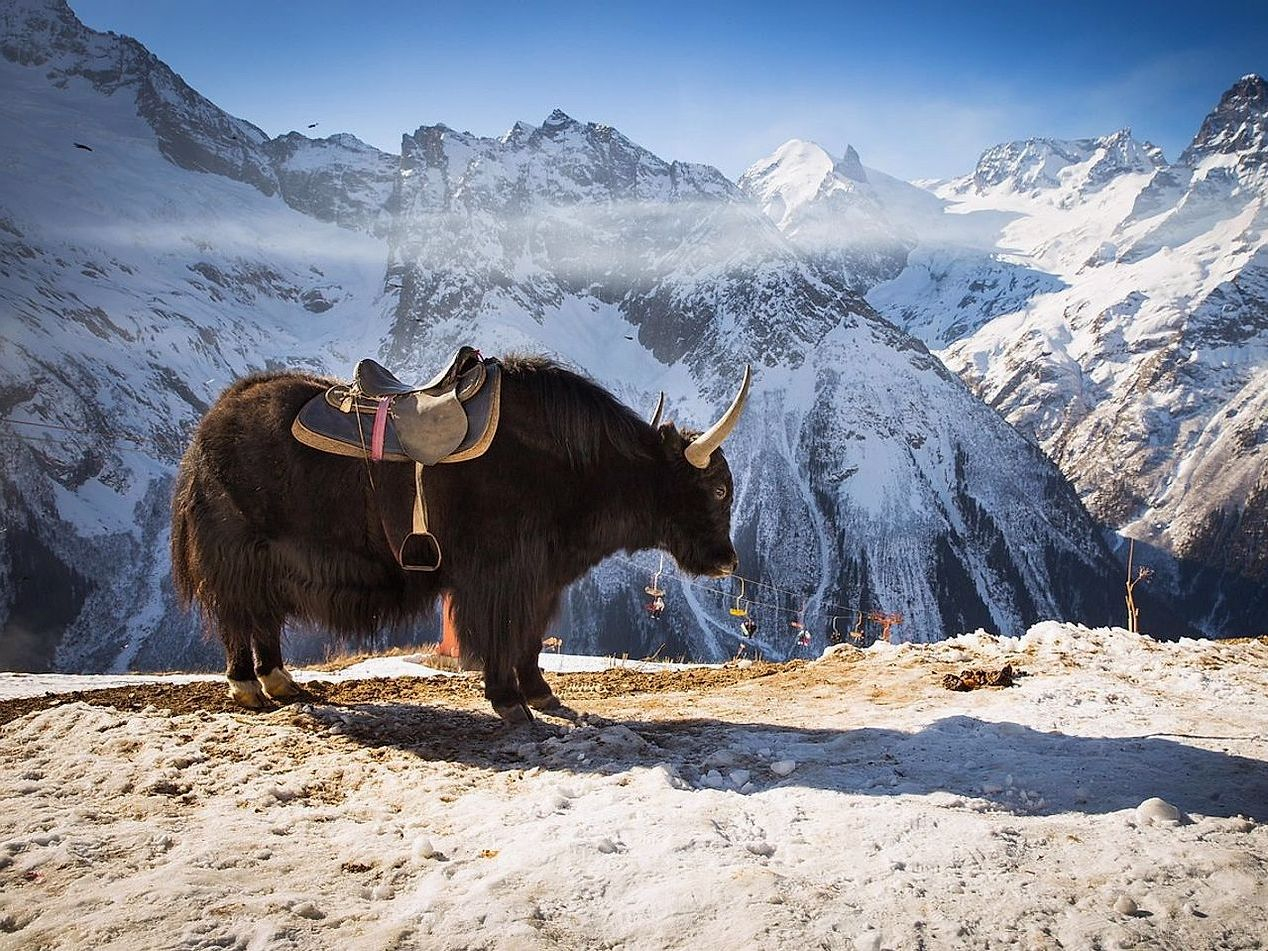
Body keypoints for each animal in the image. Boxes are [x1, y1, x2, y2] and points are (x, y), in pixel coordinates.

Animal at [170, 354, 749, 722]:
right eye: (719, 488)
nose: (728, 561)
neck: (577, 467)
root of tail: (212, 419)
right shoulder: (501, 574)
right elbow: (503, 634)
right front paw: (509, 702)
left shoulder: (540, 578)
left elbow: (530, 637)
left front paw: (542, 696)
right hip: (238, 551)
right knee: (237, 614)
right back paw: (249, 687)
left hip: (267, 561)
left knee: (263, 617)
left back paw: (282, 683)